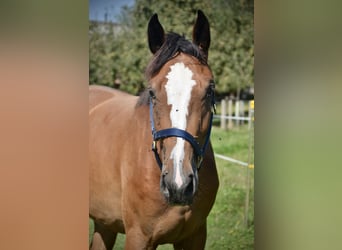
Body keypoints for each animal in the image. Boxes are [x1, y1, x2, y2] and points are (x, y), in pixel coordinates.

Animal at [89, 10, 219, 249]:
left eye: (210, 89)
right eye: (151, 92)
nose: (178, 184)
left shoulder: (195, 236)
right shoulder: (138, 237)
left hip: (105, 223)